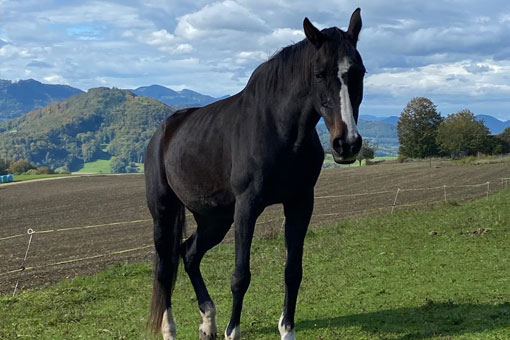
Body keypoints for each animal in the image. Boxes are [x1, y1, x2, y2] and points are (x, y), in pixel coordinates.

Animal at [145, 8, 364, 340]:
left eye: (360, 72)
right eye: (319, 74)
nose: (347, 143)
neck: (279, 130)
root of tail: (163, 132)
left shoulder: (300, 203)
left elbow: (293, 271)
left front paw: (287, 330)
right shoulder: (247, 206)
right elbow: (240, 275)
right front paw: (232, 331)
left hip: (214, 219)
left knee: (189, 254)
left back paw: (208, 322)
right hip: (164, 211)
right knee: (165, 267)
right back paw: (169, 328)